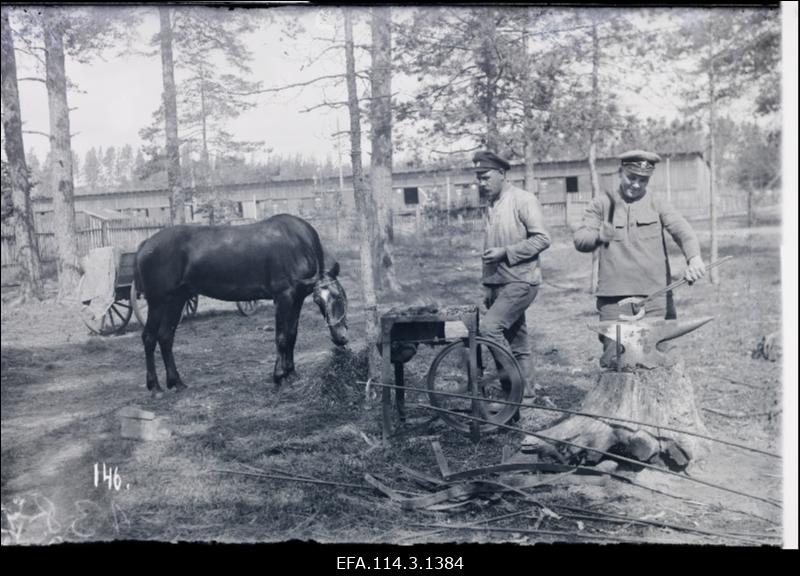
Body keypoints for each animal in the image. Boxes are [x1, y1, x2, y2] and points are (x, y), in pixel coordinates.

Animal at [134, 214, 346, 398]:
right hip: (157, 302)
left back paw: (176, 382)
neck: (298, 244)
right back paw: (155, 387)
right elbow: (282, 338)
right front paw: (279, 377)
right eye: (323, 299)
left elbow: (292, 335)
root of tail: (146, 244)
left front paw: (291, 373)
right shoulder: (283, 297)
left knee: (165, 337)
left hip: (176, 300)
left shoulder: (297, 298)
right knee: (149, 337)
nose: (341, 338)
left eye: (340, 297)